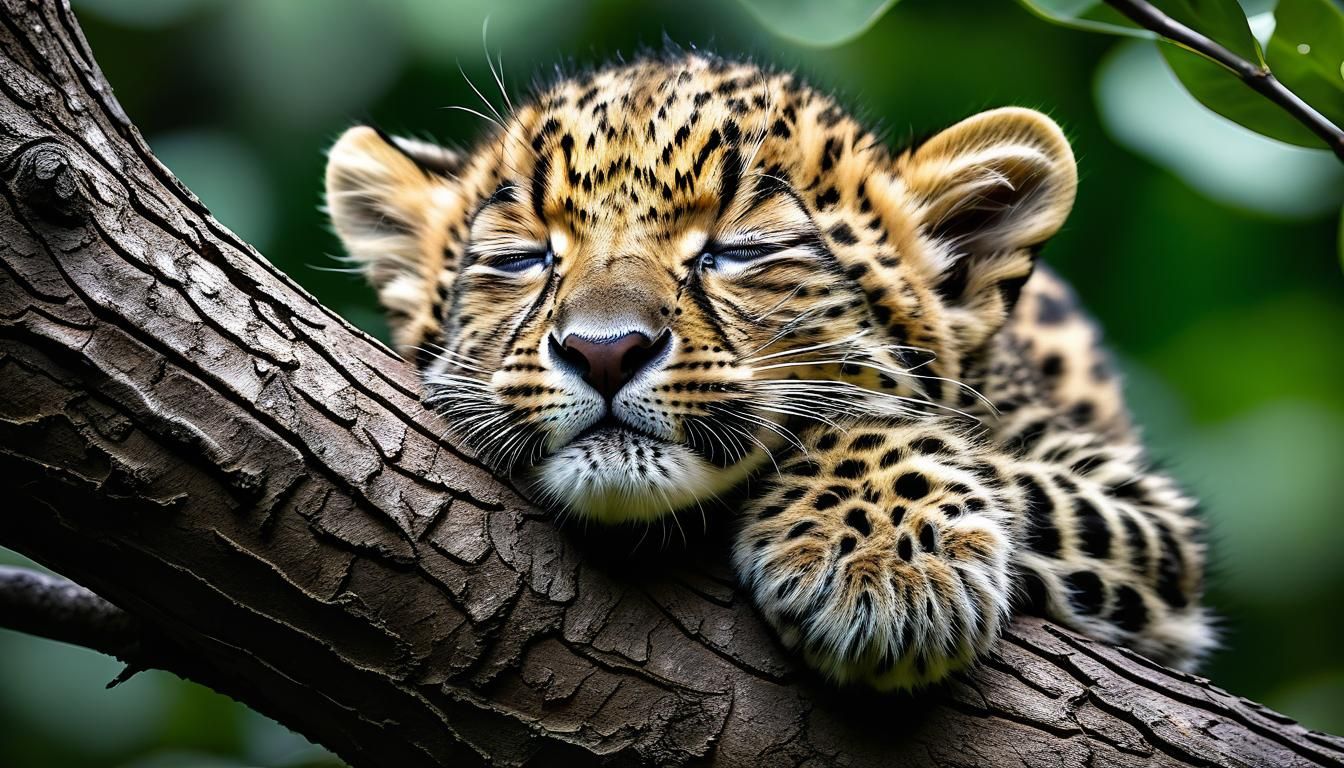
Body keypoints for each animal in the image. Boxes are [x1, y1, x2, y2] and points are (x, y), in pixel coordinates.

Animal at [324, 51, 1214, 690]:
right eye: (519, 259)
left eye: (739, 251)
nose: (604, 349)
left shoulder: (1151, 519)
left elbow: (881, 424)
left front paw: (884, 554)